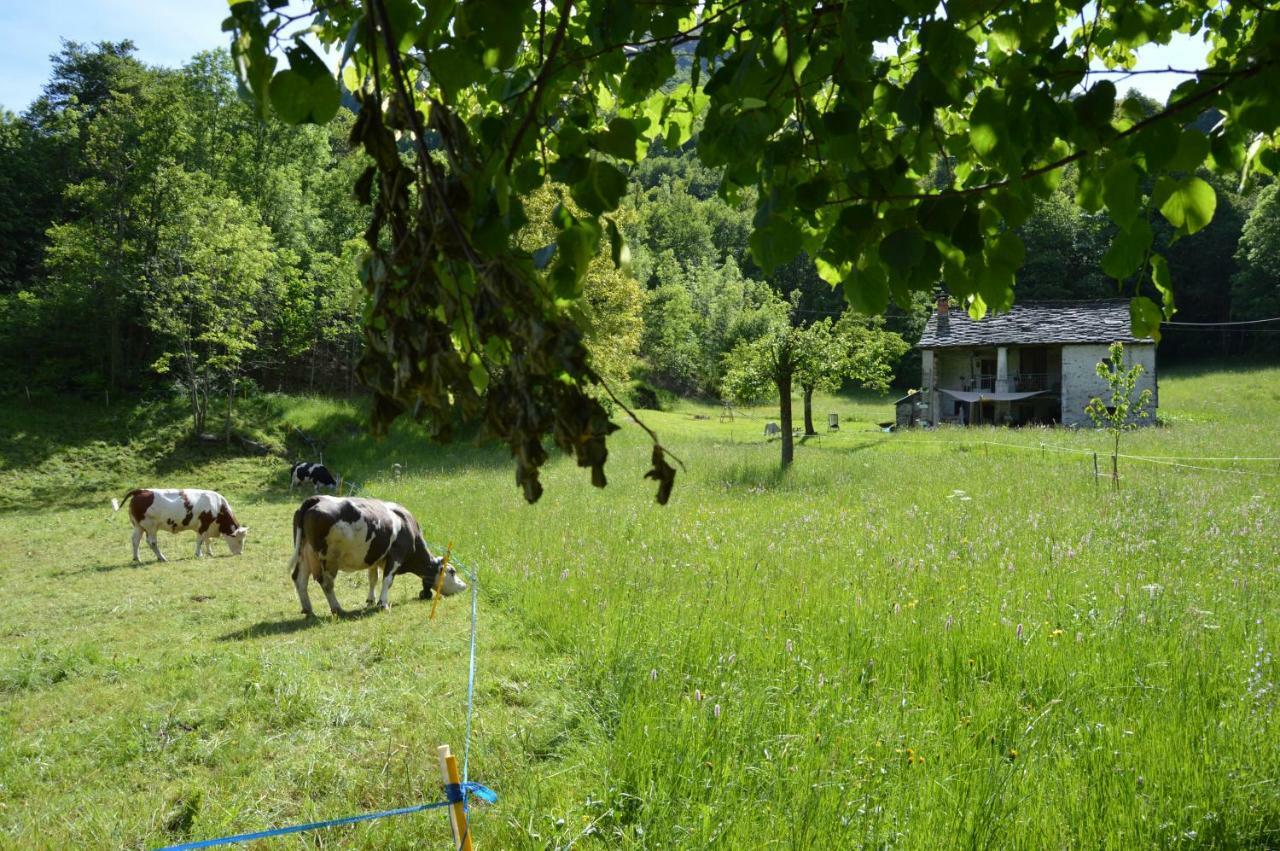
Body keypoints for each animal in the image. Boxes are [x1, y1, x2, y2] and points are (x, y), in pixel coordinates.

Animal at [112, 488, 249, 560]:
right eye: (239, 540)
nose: (240, 553)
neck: (217, 506)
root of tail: (141, 491)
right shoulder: (203, 526)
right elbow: (200, 541)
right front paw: (199, 554)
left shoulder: (207, 527)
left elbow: (207, 540)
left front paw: (210, 553)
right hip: (151, 527)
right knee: (152, 542)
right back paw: (162, 557)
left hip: (138, 526)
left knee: (135, 540)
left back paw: (137, 558)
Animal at [288, 493, 468, 614]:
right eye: (452, 571)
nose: (464, 586)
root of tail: (317, 498)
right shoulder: (396, 556)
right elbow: (387, 580)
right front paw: (382, 603)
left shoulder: (375, 558)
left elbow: (373, 578)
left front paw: (370, 600)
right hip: (329, 558)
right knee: (326, 583)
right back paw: (337, 608)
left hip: (304, 553)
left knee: (299, 579)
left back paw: (308, 609)